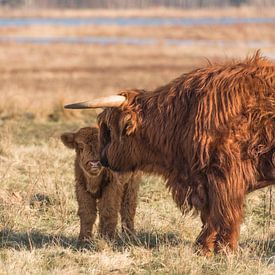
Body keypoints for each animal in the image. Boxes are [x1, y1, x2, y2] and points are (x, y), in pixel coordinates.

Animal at [65, 52, 275, 256]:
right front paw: (204, 248)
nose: (101, 159)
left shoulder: (225, 176)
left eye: (108, 130)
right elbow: (210, 216)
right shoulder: (204, 180)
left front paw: (222, 250)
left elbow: (224, 213)